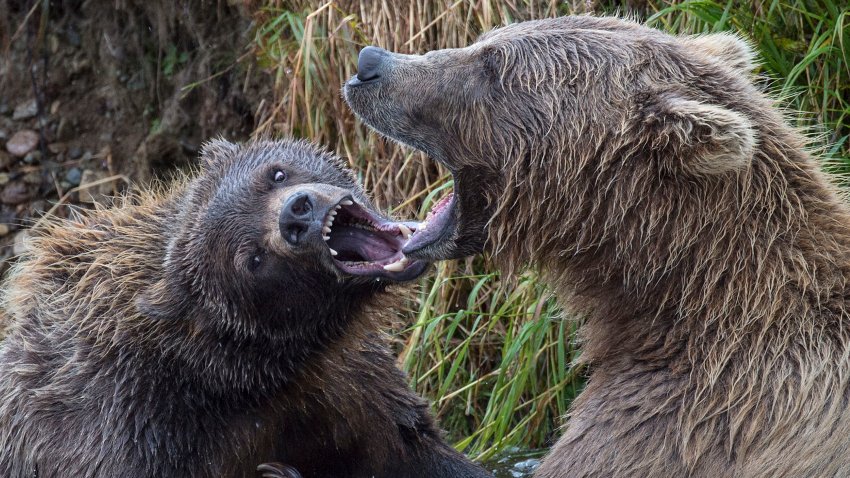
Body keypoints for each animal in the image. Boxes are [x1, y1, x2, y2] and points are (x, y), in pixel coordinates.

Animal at [0, 138, 490, 478]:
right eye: (252, 259)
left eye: (276, 173)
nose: (297, 213)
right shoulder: (128, 430)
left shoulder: (348, 382)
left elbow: (412, 443)